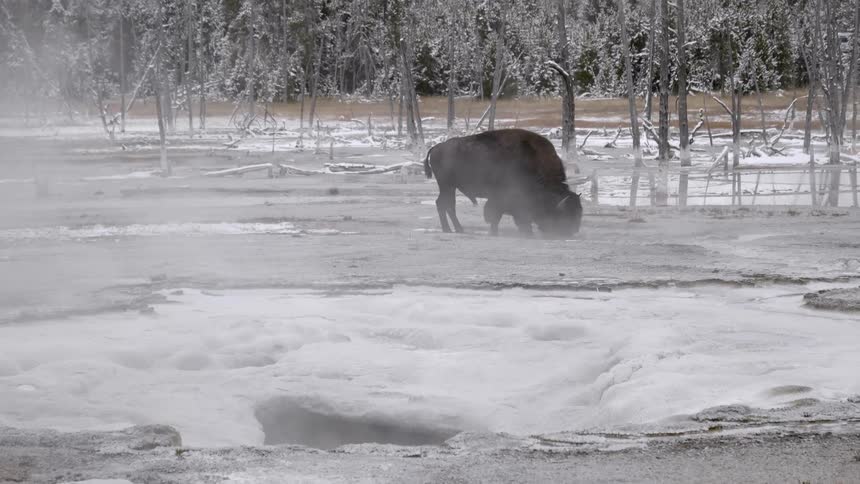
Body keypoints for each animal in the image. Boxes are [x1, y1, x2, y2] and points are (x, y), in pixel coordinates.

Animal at [424, 128, 582, 237]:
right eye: (565, 215)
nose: (572, 230)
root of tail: (437, 148)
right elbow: (498, 215)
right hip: (447, 186)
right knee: (445, 205)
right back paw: (452, 229)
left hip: (449, 187)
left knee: (445, 204)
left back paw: (455, 229)